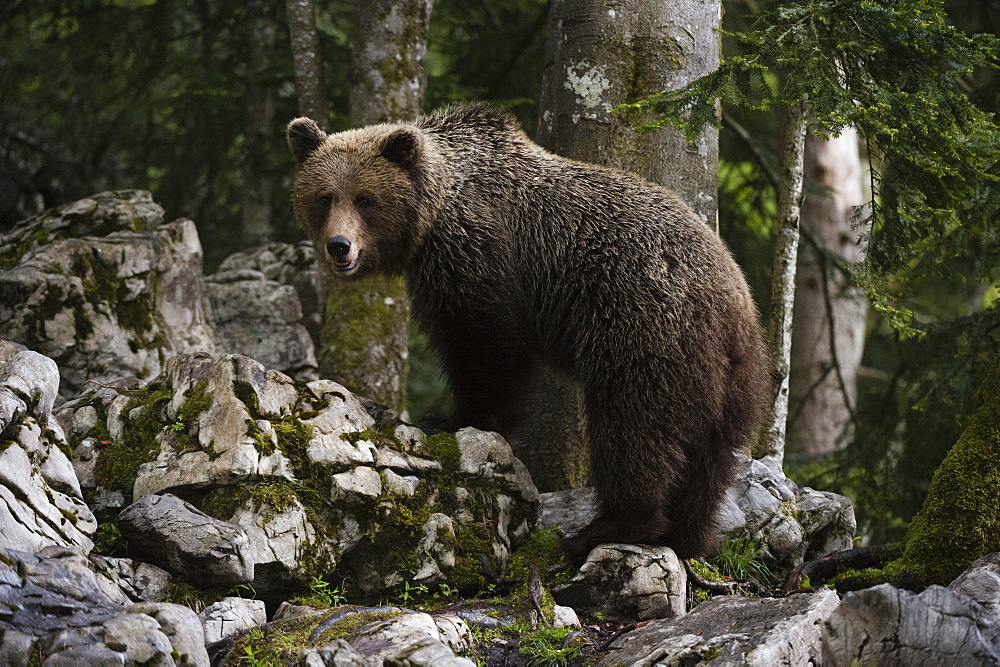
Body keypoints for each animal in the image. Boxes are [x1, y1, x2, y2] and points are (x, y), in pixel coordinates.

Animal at [286, 104, 768, 560]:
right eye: (325, 197)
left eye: (366, 199)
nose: (339, 246)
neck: (432, 221)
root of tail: (731, 297)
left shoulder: (478, 258)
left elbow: (486, 349)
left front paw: (454, 420)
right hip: (733, 374)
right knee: (711, 456)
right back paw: (688, 536)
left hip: (643, 330)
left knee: (634, 426)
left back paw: (605, 529)